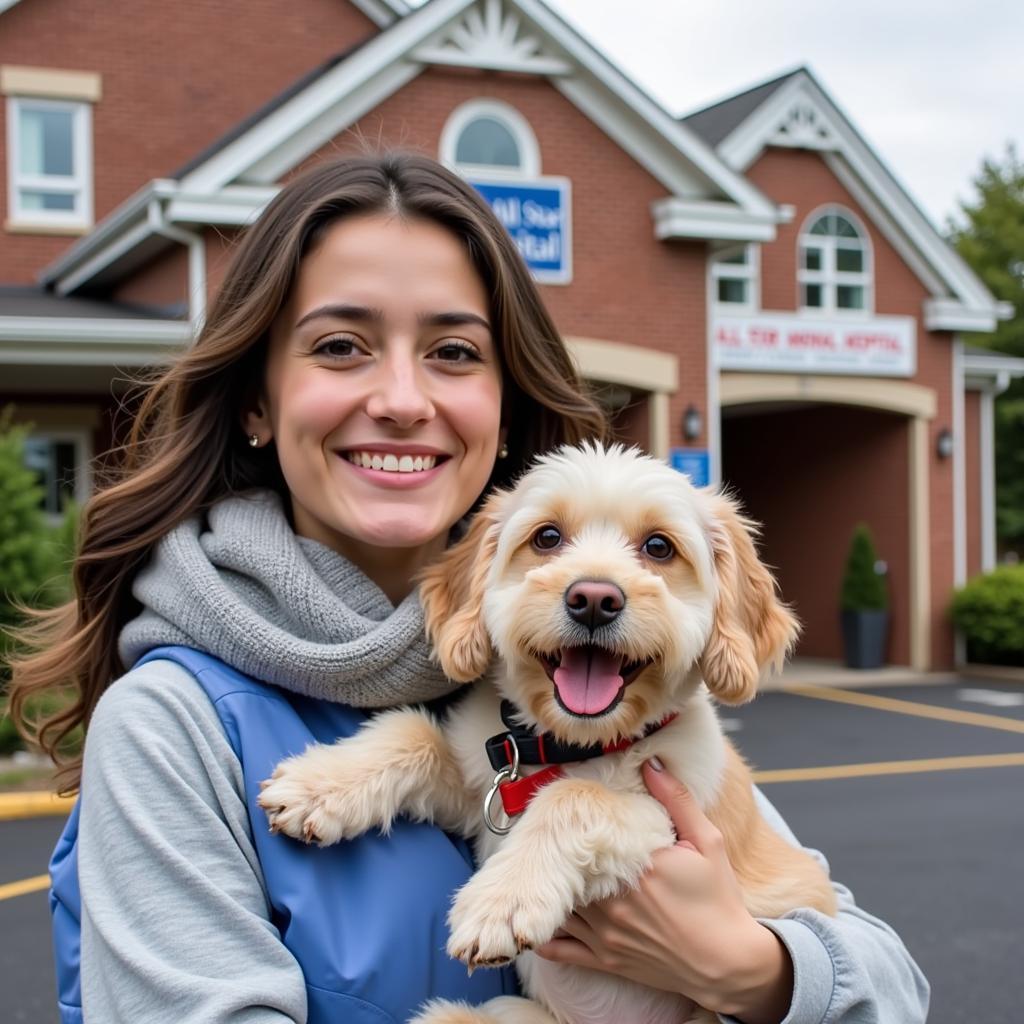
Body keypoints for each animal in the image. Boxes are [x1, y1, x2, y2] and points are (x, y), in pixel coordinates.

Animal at [260, 442, 835, 1024]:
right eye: (547, 538)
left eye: (658, 547)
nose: (594, 599)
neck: (574, 743)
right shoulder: (478, 791)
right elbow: (412, 731)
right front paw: (319, 786)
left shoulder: (668, 821)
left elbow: (574, 797)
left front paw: (501, 901)